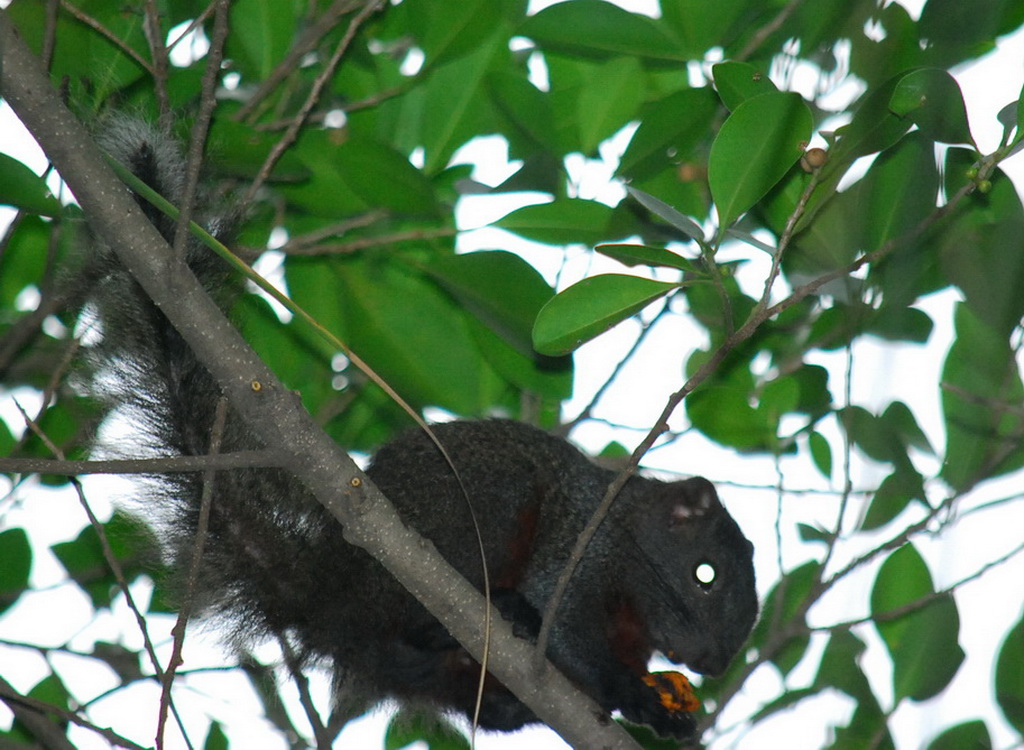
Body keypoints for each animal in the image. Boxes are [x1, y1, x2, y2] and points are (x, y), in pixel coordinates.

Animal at [86, 119, 761, 741]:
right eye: (706, 574)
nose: (711, 661)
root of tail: (329, 596)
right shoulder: (582, 545)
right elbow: (565, 628)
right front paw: (633, 691)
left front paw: (664, 709)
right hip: (478, 512)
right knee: (430, 612)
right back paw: (497, 611)